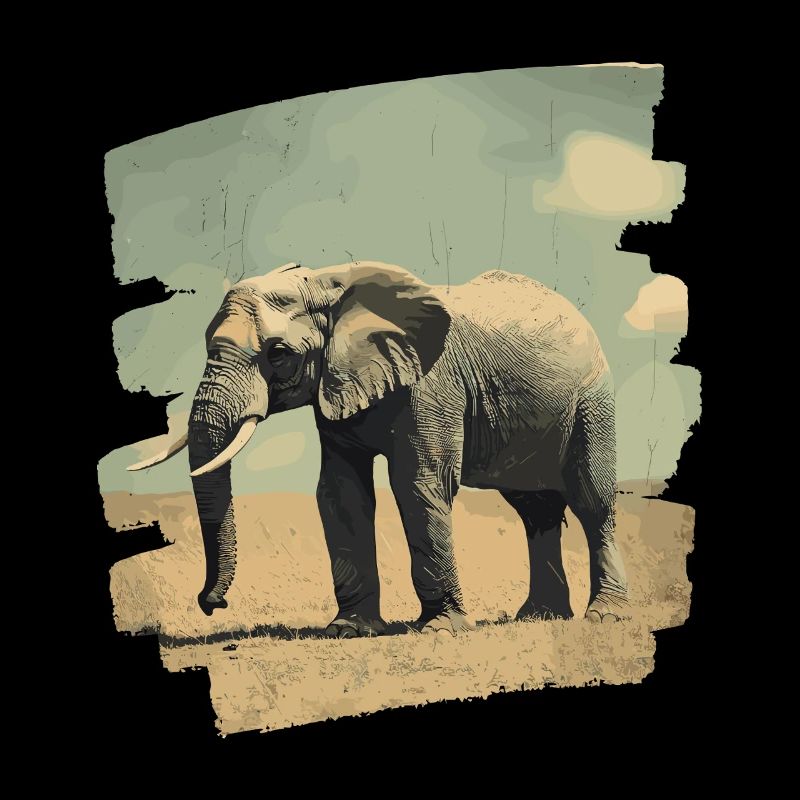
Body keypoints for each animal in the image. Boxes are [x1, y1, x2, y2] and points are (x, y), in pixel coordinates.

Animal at [129, 261, 628, 637]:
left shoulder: (431, 383)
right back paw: (540, 617)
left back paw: (604, 616)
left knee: (591, 500)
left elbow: (419, 483)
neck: (328, 282)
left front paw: (440, 630)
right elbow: (340, 491)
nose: (211, 604)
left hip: (592, 400)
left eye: (278, 354)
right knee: (534, 510)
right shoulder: (335, 386)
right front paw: (349, 630)